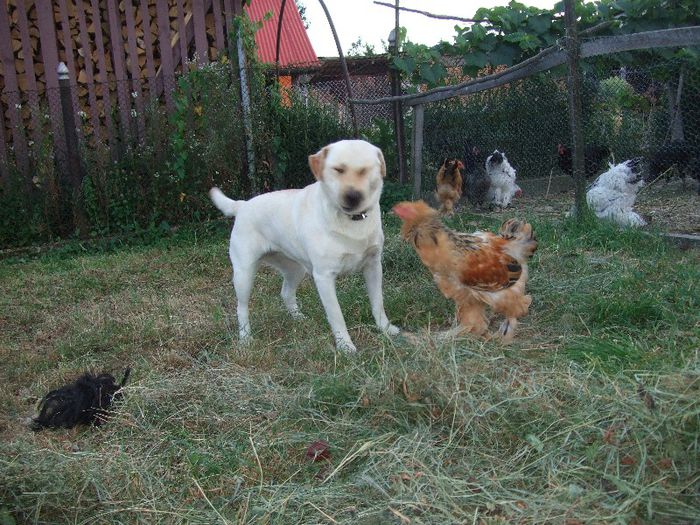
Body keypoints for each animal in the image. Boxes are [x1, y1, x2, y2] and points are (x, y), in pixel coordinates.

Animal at [211, 139, 400, 352]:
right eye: (338, 169)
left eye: (365, 170)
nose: (352, 196)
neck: (351, 221)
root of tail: (242, 205)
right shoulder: (324, 277)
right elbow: (336, 316)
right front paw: (345, 346)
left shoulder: (373, 266)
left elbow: (378, 303)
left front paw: (385, 328)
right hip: (244, 274)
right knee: (241, 307)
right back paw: (245, 339)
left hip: (295, 269)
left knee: (286, 292)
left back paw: (299, 318)